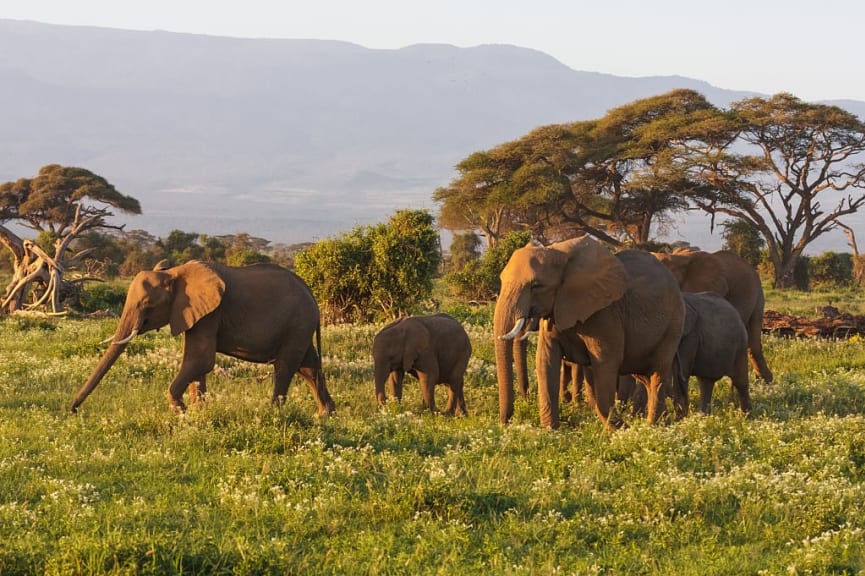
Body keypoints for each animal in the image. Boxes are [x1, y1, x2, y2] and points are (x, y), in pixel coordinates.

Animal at [69, 260, 334, 414]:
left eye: (147, 305)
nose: (73, 410)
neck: (174, 273)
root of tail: (313, 298)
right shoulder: (195, 314)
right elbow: (198, 364)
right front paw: (198, 414)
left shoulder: (210, 313)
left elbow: (200, 359)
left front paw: (181, 411)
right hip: (300, 327)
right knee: (308, 367)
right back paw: (325, 415)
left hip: (298, 323)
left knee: (286, 366)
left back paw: (274, 414)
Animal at [496, 236, 684, 430]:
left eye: (536, 286)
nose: (506, 423)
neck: (559, 254)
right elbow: (546, 360)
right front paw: (550, 430)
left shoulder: (605, 314)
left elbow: (605, 362)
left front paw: (618, 430)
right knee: (645, 375)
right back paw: (661, 422)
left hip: (673, 323)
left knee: (657, 372)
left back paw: (653, 426)